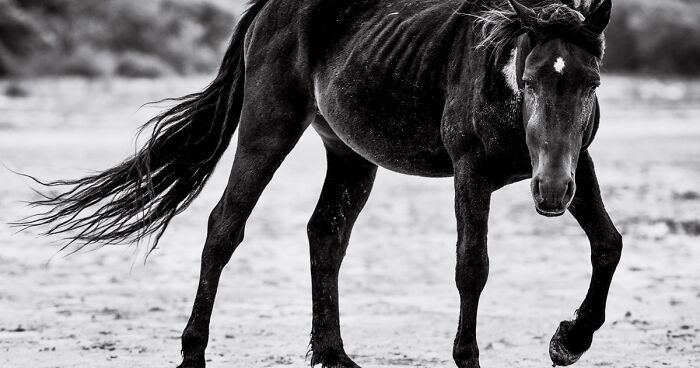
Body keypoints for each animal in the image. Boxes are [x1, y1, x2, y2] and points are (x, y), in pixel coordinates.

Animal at [20, 0, 624, 366]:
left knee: (325, 235)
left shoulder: (577, 164)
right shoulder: (470, 173)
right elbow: (471, 266)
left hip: (350, 155)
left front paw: (568, 341)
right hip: (268, 129)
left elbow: (608, 244)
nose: (549, 194)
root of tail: (268, 10)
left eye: (592, 82)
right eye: (531, 78)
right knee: (225, 227)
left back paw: (333, 354)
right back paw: (194, 351)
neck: (499, 72)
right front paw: (469, 357)